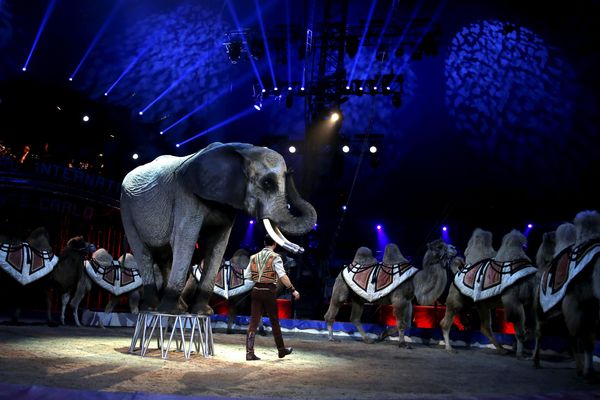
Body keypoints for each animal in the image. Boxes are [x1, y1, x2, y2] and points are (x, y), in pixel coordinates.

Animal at [122, 142, 318, 314]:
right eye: (267, 183)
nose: (300, 250)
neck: (245, 150)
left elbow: (218, 245)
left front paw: (202, 313)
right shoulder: (186, 195)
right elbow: (186, 239)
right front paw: (171, 311)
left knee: (165, 257)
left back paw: (173, 307)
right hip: (127, 210)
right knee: (144, 253)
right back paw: (154, 309)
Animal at [440, 227, 536, 358]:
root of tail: (458, 271)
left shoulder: (529, 303)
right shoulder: (513, 301)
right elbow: (519, 329)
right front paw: (521, 353)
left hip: (482, 305)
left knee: (485, 327)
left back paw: (502, 349)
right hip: (455, 300)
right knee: (446, 322)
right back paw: (449, 348)